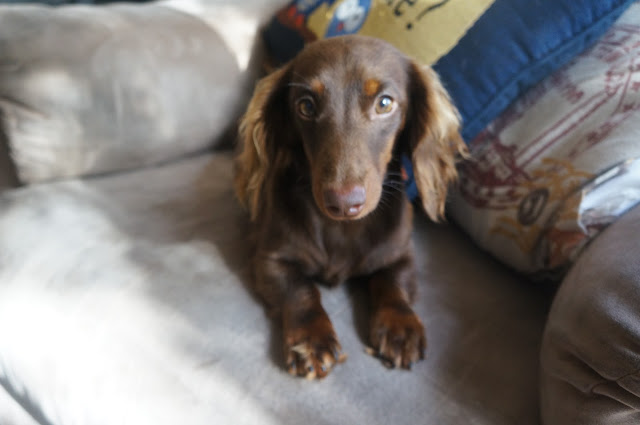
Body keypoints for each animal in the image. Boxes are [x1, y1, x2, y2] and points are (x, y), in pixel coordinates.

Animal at [234, 35, 467, 379]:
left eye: (385, 103)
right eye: (306, 106)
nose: (344, 203)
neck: (341, 228)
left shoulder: (401, 256)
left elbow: (393, 283)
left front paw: (401, 328)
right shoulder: (268, 259)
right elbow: (300, 291)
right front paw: (311, 339)